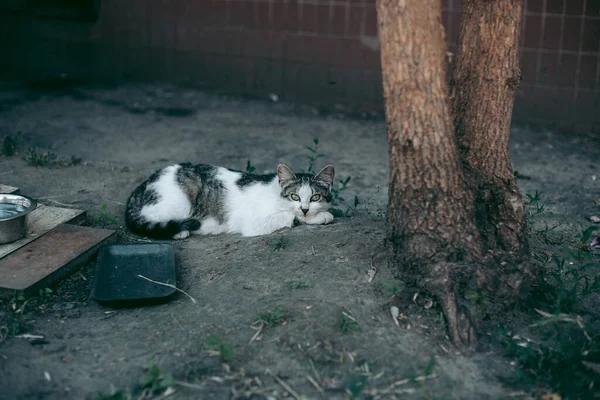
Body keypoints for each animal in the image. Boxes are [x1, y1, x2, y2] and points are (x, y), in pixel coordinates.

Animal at [124, 163, 336, 241]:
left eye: (315, 197)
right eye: (295, 197)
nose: (306, 209)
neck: (276, 194)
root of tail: (139, 189)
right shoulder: (254, 223)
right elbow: (291, 216)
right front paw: (321, 216)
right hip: (179, 199)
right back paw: (179, 230)